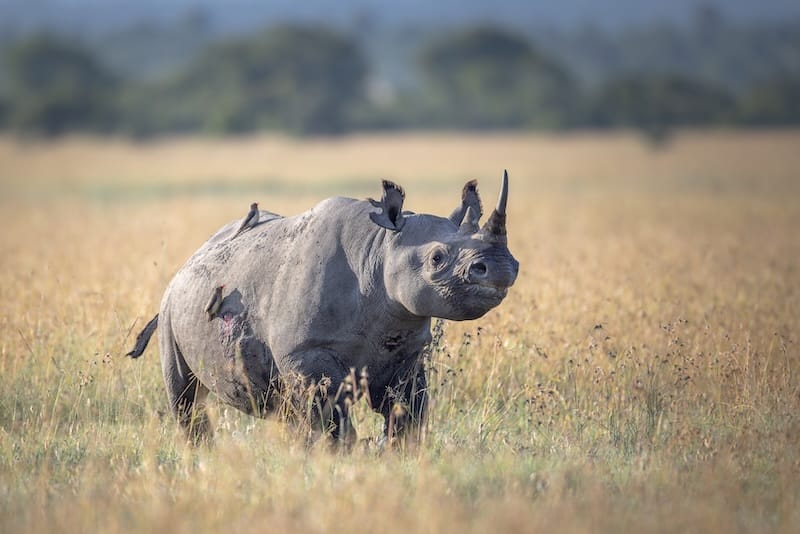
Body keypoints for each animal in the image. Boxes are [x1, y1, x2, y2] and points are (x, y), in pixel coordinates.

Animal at [127, 171, 519, 444]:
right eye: (437, 258)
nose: (501, 267)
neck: (379, 249)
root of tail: (189, 260)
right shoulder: (306, 353)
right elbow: (331, 419)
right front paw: (343, 457)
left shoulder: (406, 350)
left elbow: (406, 412)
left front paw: (396, 454)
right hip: (170, 307)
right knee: (186, 397)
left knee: (285, 410)